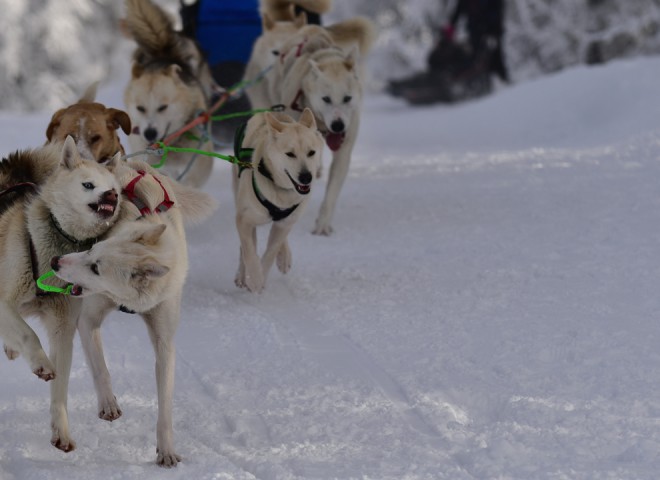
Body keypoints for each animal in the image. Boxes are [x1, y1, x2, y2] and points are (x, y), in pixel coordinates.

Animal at [52, 159, 217, 466]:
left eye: (96, 268)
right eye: (92, 249)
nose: (56, 262)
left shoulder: (165, 342)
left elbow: (165, 404)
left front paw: (166, 449)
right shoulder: (89, 321)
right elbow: (101, 367)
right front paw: (108, 403)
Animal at [233, 108, 324, 292]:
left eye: (311, 152)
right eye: (290, 154)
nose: (306, 177)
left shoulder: (284, 223)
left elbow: (271, 251)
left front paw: (263, 273)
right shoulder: (244, 220)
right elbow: (248, 251)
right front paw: (254, 278)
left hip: (286, 221)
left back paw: (284, 258)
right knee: (246, 247)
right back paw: (242, 276)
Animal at [248, 0, 376, 235]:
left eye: (347, 98)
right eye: (325, 98)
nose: (338, 125)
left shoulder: (343, 149)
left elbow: (332, 190)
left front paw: (323, 224)